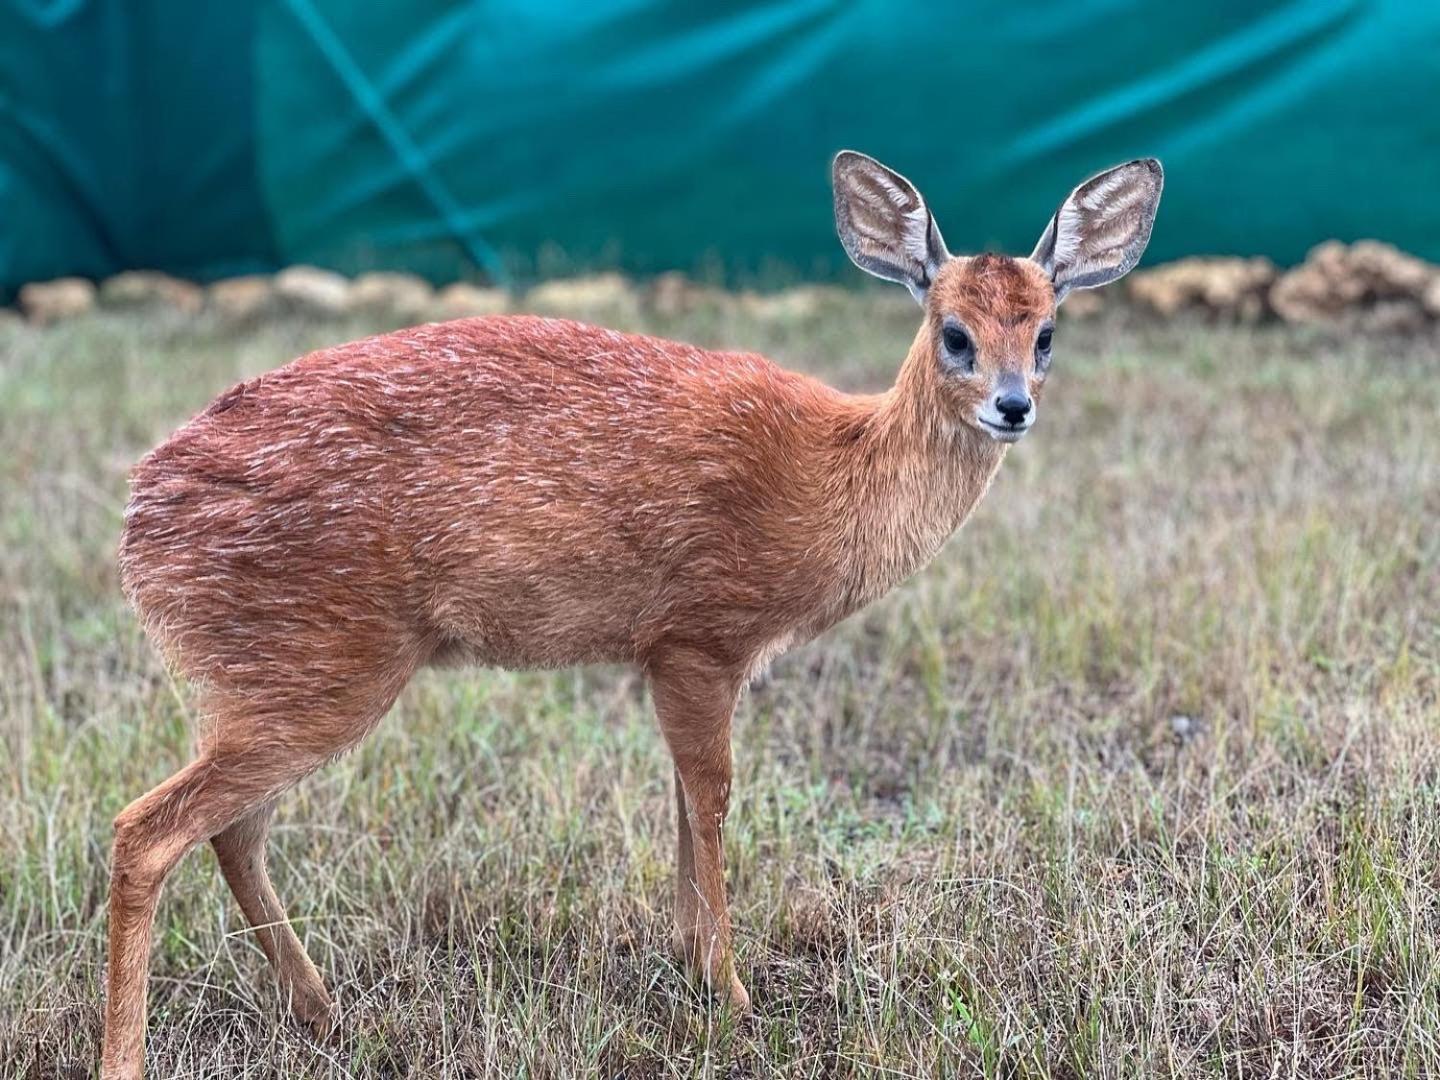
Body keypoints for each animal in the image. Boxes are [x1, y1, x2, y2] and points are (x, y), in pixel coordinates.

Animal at [104, 150, 1157, 1077]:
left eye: (1048, 333)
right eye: (954, 333)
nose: (1013, 406)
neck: (831, 477)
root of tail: (140, 523)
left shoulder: (665, 653)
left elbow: (683, 808)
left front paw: (694, 967)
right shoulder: (702, 634)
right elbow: (714, 798)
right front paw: (733, 994)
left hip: (271, 673)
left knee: (230, 831)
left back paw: (324, 1011)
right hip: (323, 662)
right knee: (147, 830)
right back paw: (134, 1055)